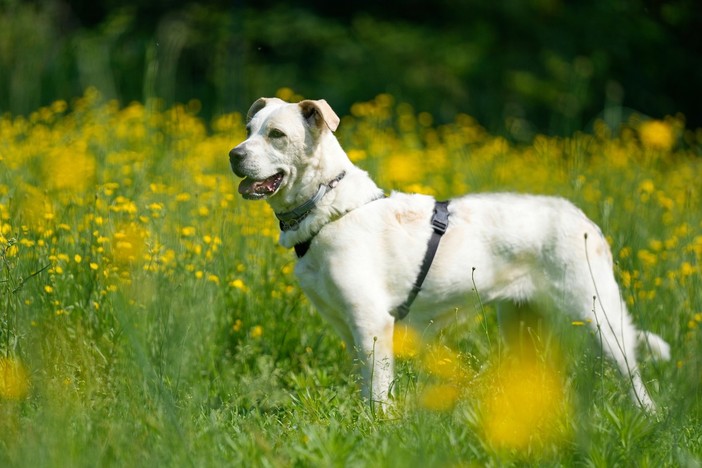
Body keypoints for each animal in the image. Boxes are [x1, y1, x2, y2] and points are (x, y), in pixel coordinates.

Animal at [230, 98, 672, 410]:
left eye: (277, 135)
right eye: (249, 130)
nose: (234, 154)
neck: (330, 208)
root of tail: (583, 218)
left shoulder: (372, 324)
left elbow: (378, 395)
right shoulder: (348, 328)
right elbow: (363, 386)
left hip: (600, 317)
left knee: (636, 383)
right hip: (522, 324)